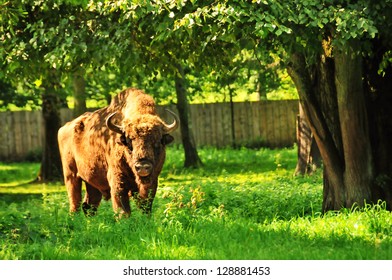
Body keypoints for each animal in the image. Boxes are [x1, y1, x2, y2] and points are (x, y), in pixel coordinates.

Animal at [57, 87, 179, 217]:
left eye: (157, 141)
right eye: (129, 141)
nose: (142, 167)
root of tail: (63, 128)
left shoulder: (152, 181)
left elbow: (145, 206)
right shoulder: (117, 181)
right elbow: (123, 210)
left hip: (91, 181)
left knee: (89, 205)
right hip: (71, 176)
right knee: (75, 203)